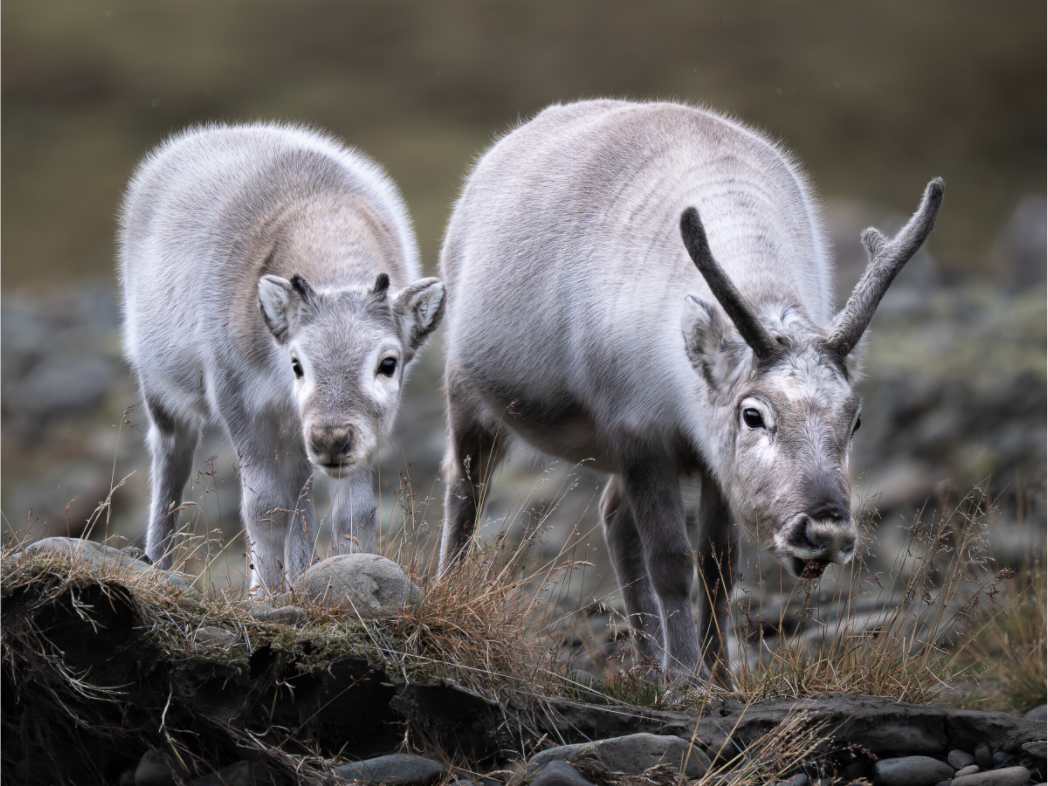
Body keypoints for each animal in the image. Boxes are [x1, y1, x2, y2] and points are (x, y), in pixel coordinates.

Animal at [119, 122, 445, 592]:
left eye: (388, 363)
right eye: (297, 364)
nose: (331, 438)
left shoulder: (356, 435)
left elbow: (354, 513)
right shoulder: (241, 406)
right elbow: (264, 511)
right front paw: (265, 595)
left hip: (294, 436)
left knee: (301, 497)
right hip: (164, 395)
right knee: (170, 463)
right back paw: (158, 561)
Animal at [436, 99, 942, 681]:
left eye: (855, 418)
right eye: (753, 414)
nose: (826, 530)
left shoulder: (710, 457)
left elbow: (718, 564)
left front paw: (718, 675)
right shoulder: (639, 434)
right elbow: (672, 561)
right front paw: (684, 678)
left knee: (613, 517)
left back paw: (647, 660)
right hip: (469, 393)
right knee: (465, 490)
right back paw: (448, 589)